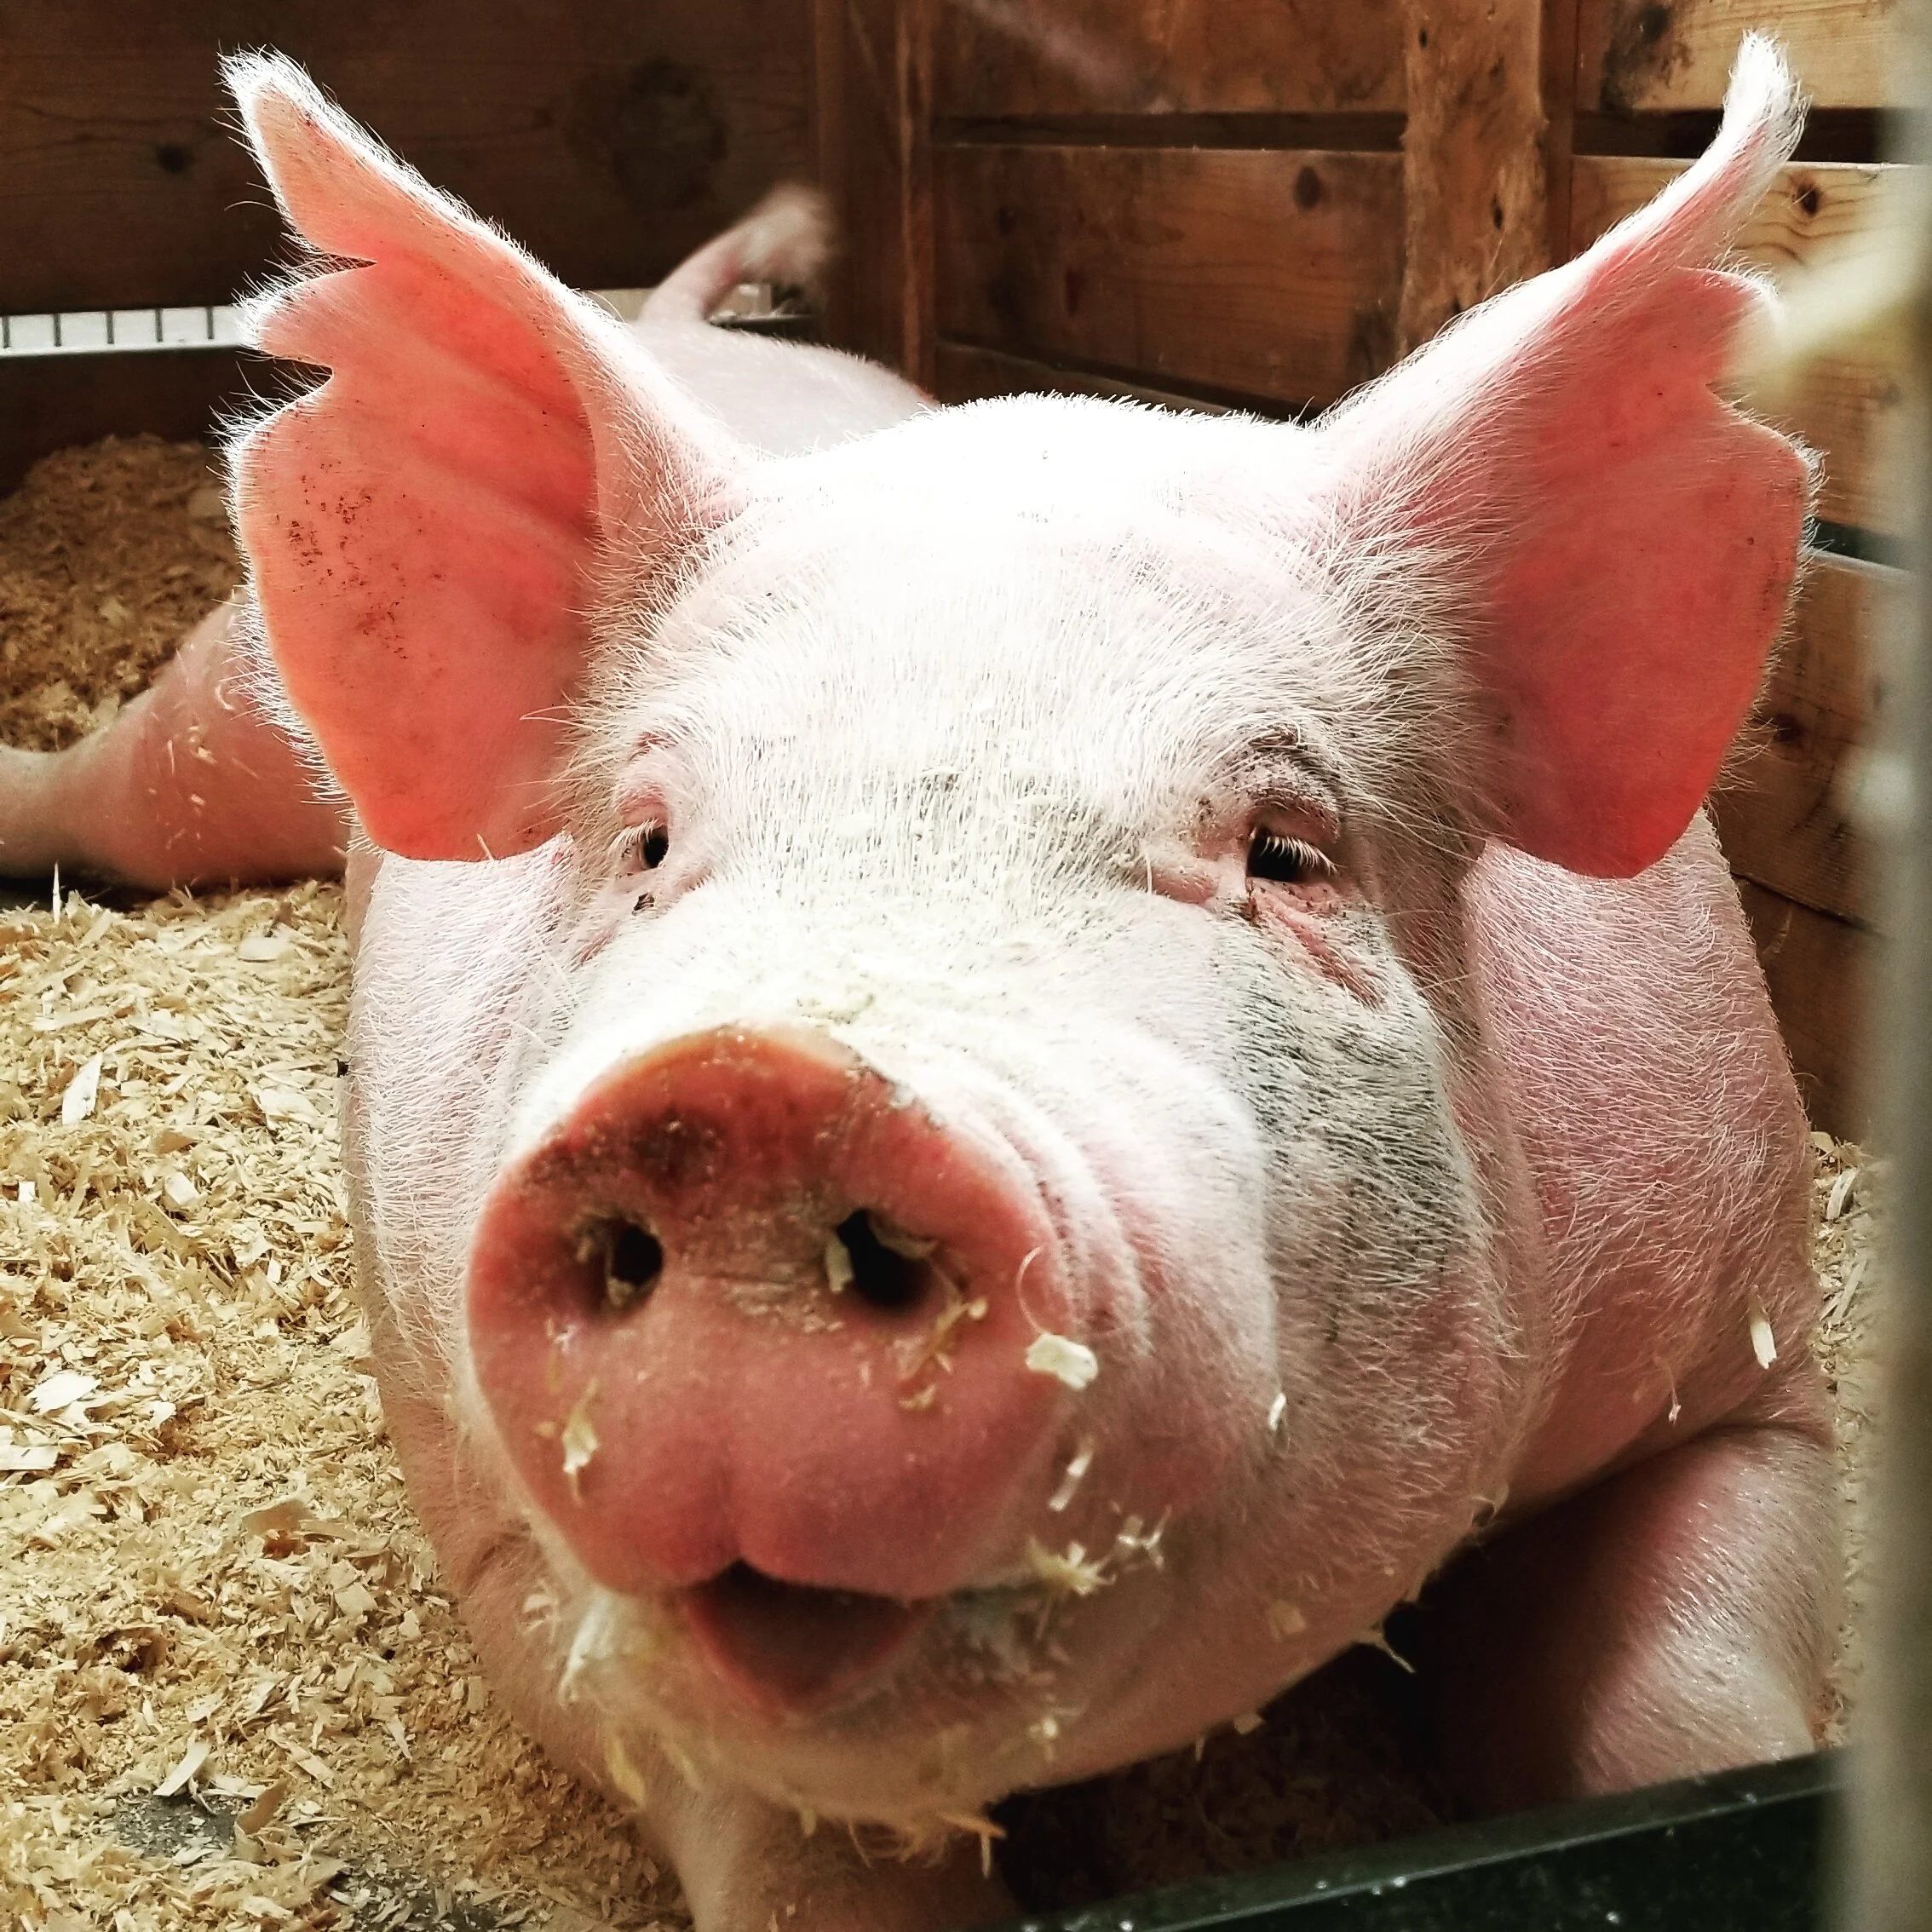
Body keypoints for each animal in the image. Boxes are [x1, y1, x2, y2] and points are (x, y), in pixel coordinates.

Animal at [0, 37, 1836, 1932]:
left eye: (1285, 850)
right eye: (648, 840)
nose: (755, 1096)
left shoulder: (1748, 1358)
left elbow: (1697, 1717)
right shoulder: (508, 1538)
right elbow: (788, 1838)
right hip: (223, 705)